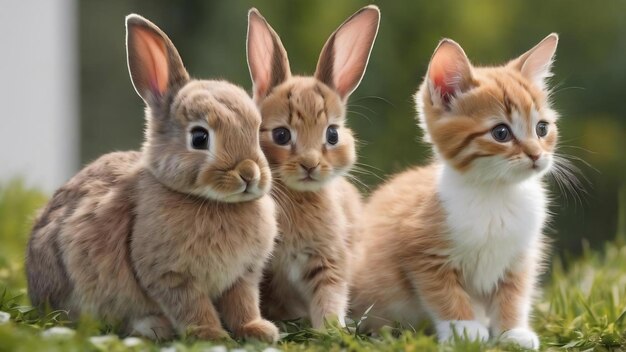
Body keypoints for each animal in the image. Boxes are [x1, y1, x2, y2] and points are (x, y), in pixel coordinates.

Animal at [25, 14, 278, 344]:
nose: (249, 172)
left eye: (257, 131)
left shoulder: (243, 276)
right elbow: (193, 307)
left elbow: (243, 304)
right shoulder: (172, 275)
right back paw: (154, 326)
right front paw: (211, 335)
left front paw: (258, 330)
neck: (213, 202)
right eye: (199, 137)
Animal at [246, 4, 378, 328]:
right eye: (281, 135)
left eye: (332, 134)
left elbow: (328, 296)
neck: (298, 196)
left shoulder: (329, 260)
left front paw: (332, 328)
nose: (310, 164)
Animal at [348, 33, 560, 350]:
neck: (495, 194)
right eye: (501, 133)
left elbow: (514, 293)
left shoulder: (520, 255)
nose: (536, 155)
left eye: (542, 128)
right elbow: (444, 293)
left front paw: (512, 330)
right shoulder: (423, 253)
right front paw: (464, 329)